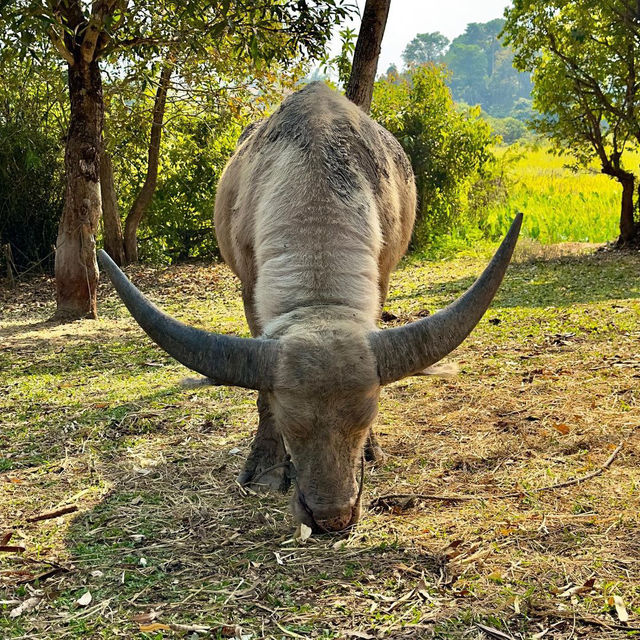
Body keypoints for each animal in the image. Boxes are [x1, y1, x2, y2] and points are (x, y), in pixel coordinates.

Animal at [99, 82, 520, 532]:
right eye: (291, 425)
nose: (331, 517)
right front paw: (266, 467)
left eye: (366, 418)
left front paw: (371, 450)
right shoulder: (250, 293)